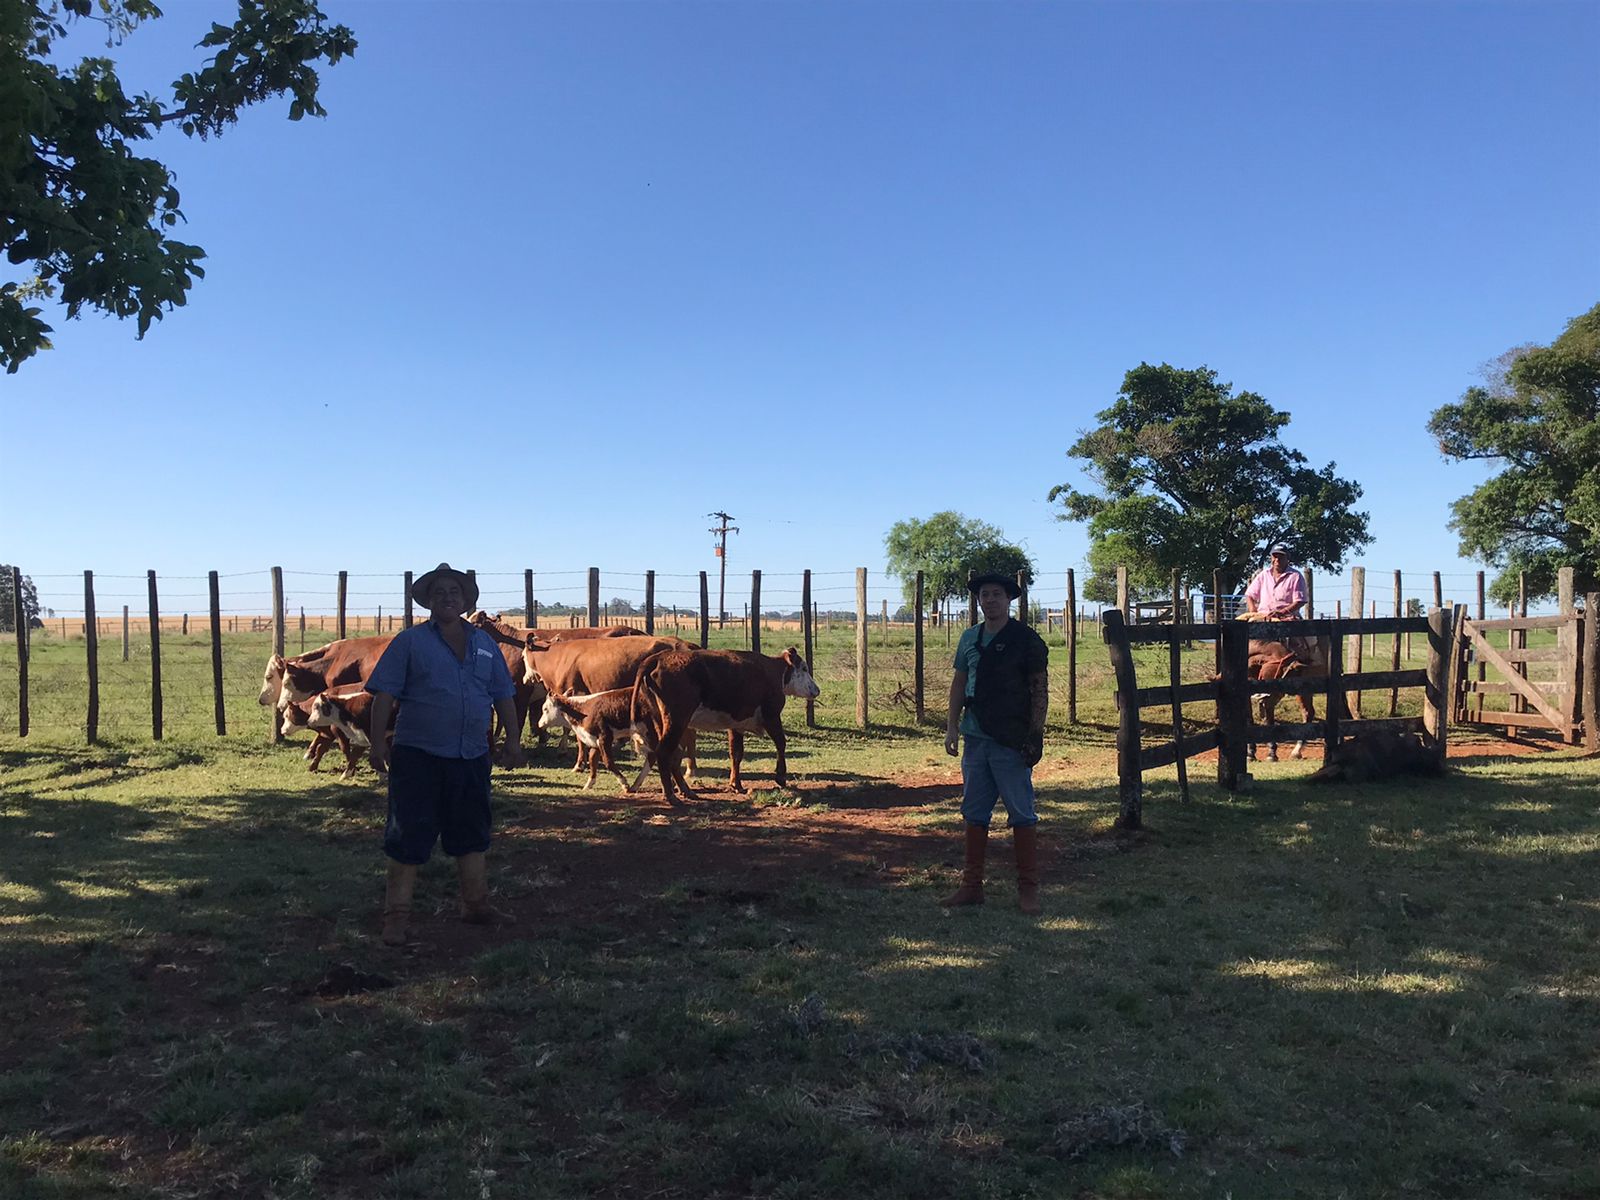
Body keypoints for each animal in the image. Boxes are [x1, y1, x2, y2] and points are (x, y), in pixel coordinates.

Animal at [630, 649, 819, 809]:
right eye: (804, 668)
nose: (816, 690)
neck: (774, 671)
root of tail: (658, 658)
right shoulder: (771, 716)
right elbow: (781, 742)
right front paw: (780, 777)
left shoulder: (736, 726)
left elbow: (736, 753)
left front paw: (736, 784)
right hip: (677, 720)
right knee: (664, 753)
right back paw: (671, 796)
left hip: (667, 723)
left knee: (673, 756)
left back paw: (686, 791)